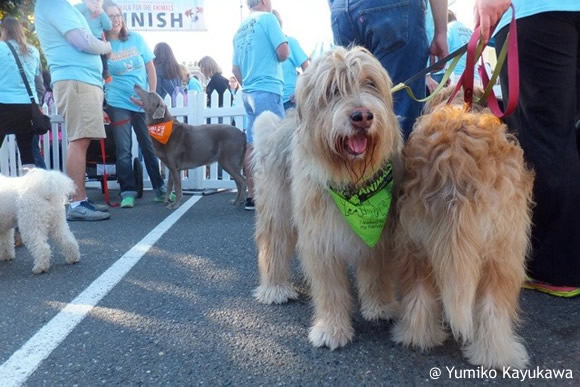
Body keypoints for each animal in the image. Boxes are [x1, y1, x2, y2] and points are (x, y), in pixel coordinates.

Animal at [251, 47, 402, 350]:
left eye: (370, 83)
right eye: (332, 90)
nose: (362, 116)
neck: (353, 183)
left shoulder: (379, 239)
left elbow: (377, 275)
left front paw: (379, 306)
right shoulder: (321, 240)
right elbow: (329, 288)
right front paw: (331, 328)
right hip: (277, 211)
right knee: (272, 245)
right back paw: (274, 288)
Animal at [390, 87, 536, 370]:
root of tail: (455, 157)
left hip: (414, 239)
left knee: (418, 292)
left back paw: (419, 338)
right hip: (504, 249)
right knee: (493, 308)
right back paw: (497, 356)